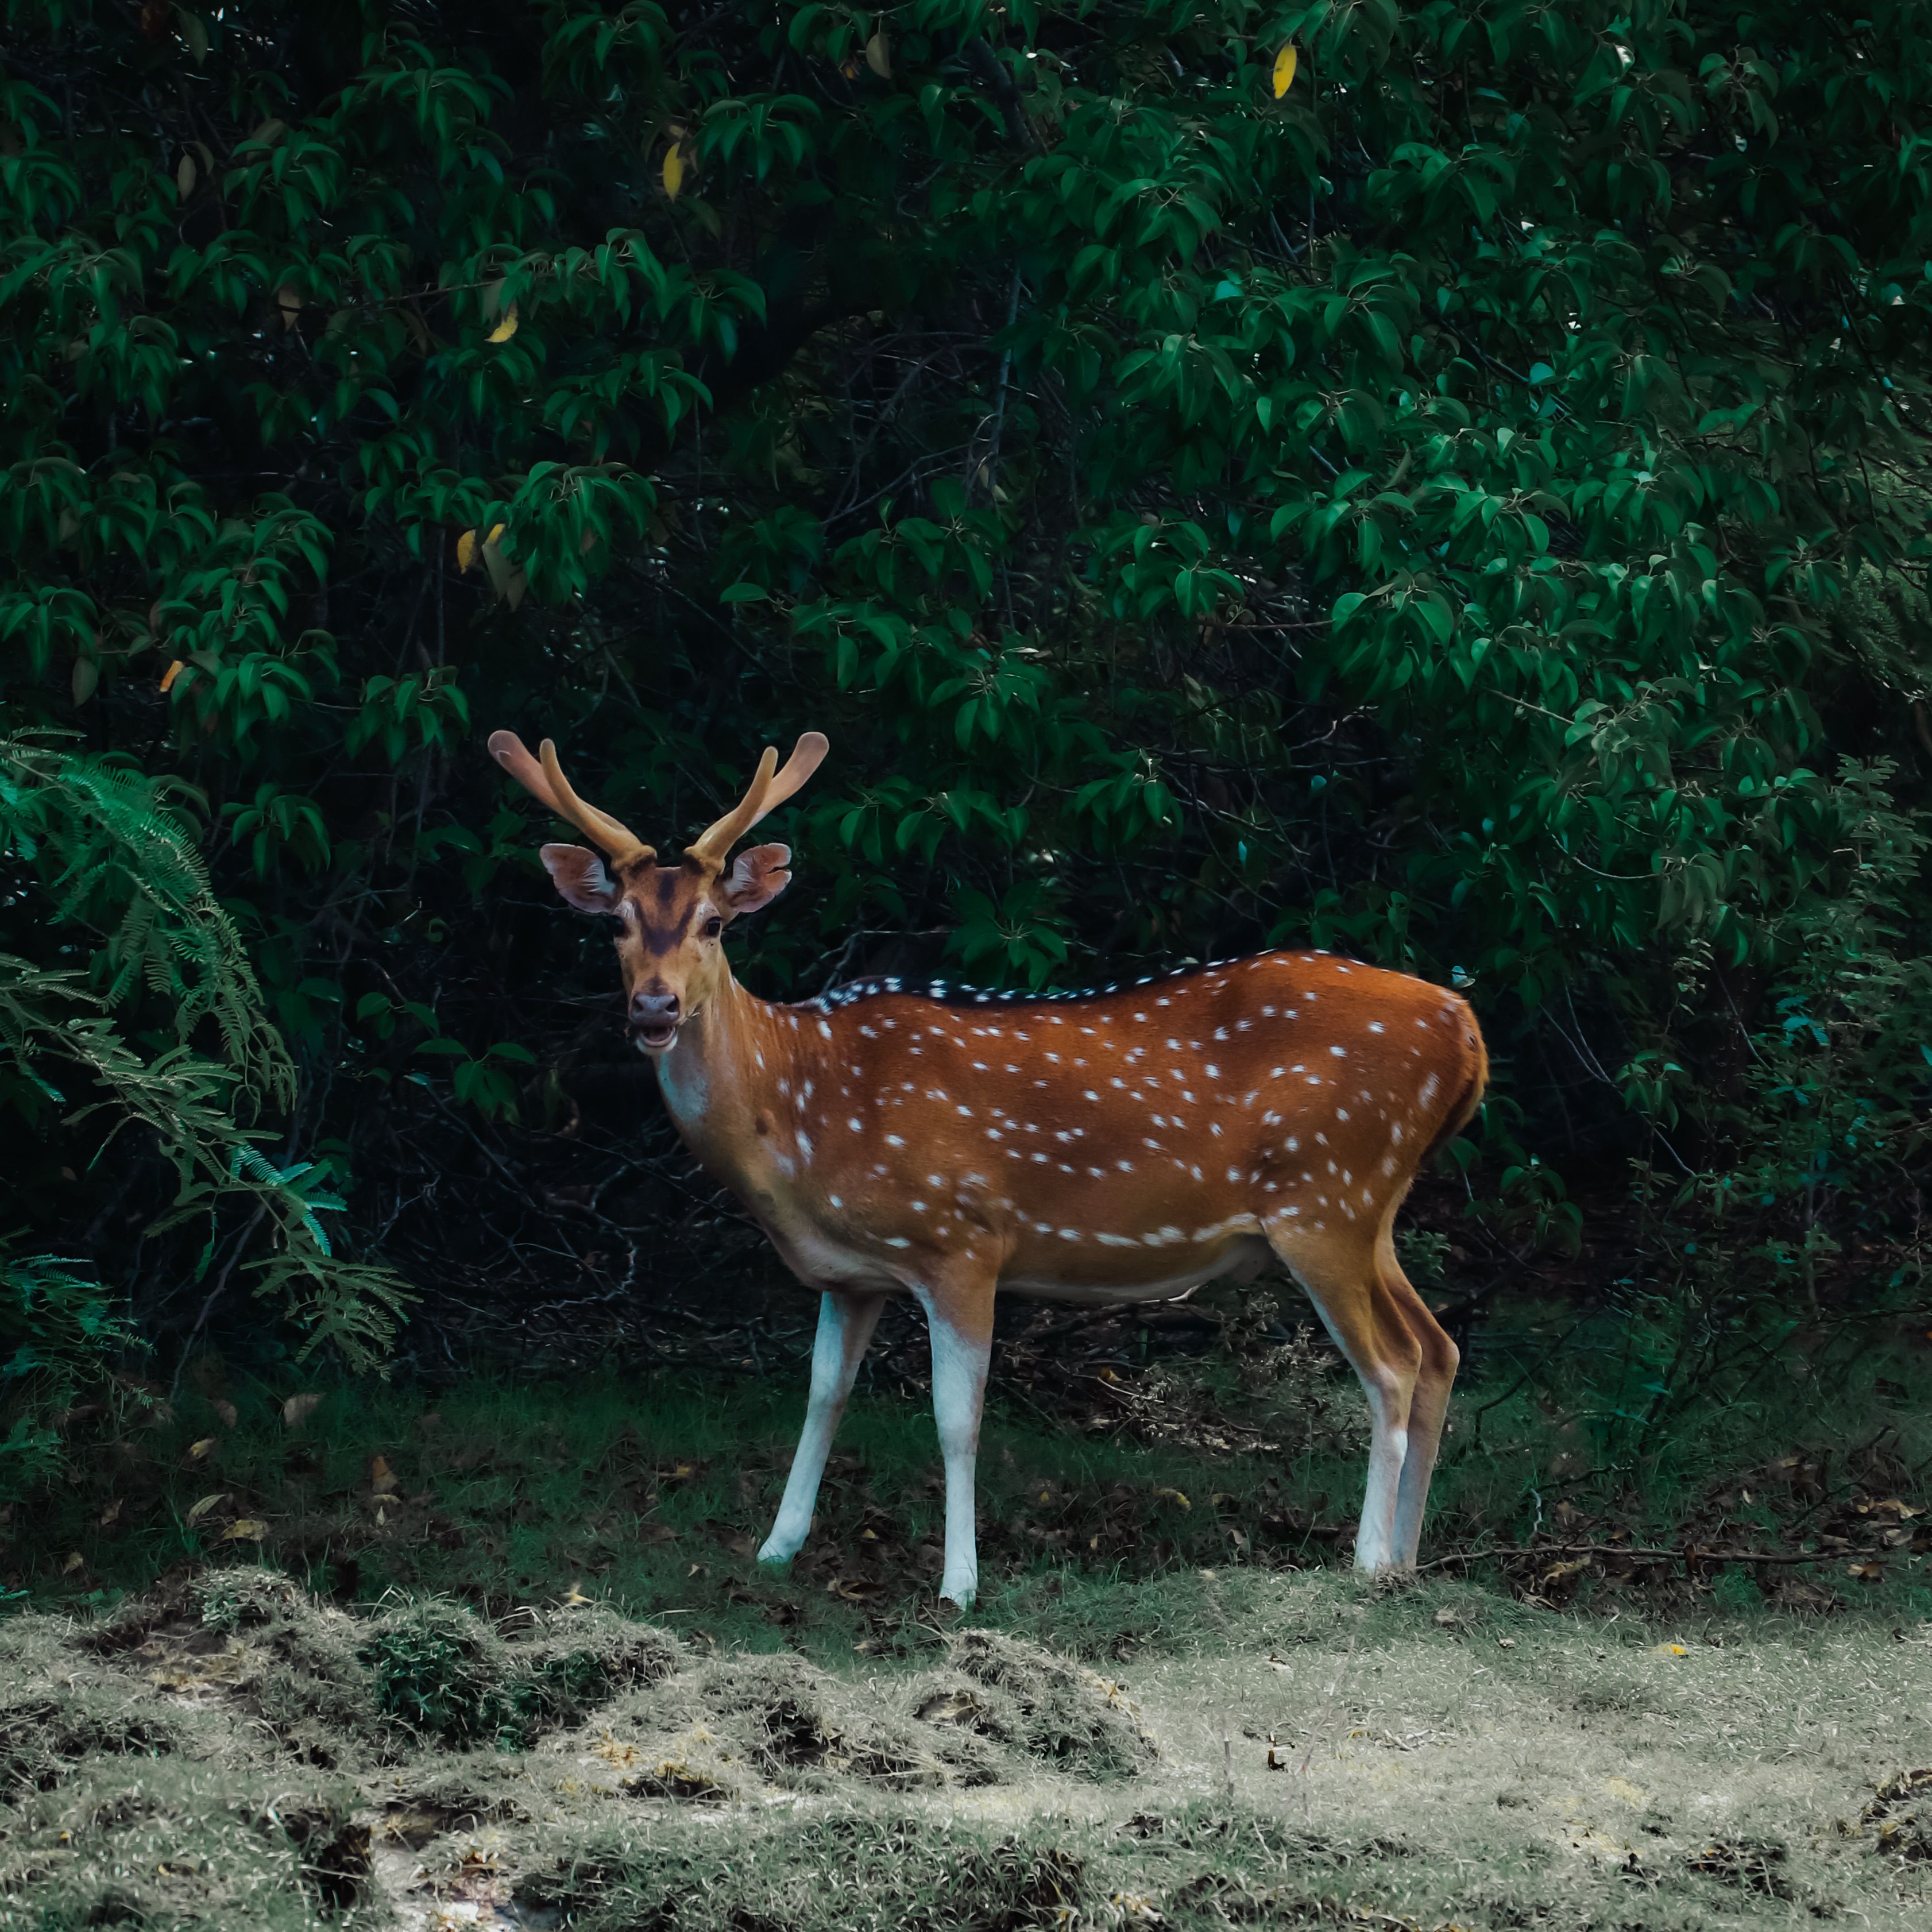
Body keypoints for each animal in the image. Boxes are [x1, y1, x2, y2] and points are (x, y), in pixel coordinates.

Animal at [488, 726, 1487, 1607]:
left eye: (713, 923)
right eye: (618, 924)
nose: (654, 1009)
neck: (803, 1116)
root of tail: (1466, 1029)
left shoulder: (962, 1237)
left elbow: (956, 1418)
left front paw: (961, 1586)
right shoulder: (852, 1276)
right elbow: (821, 1395)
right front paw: (777, 1547)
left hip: (1327, 1195)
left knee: (1393, 1366)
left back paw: (1366, 1562)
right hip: (1374, 1207)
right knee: (1440, 1347)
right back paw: (1408, 1561)